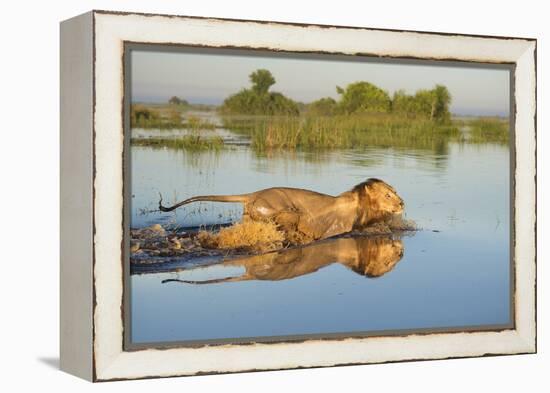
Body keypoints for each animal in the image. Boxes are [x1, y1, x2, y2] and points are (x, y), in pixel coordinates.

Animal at [160, 178, 406, 245]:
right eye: (388, 195)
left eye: (395, 191)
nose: (403, 203)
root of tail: (252, 193)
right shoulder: (336, 230)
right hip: (285, 210)